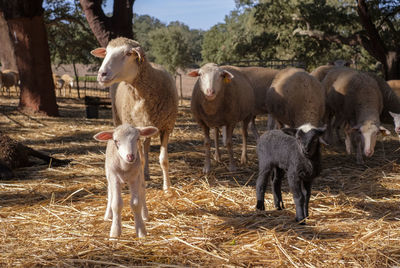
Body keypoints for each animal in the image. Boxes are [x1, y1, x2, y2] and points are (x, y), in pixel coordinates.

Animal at [92, 38, 178, 193]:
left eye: (128, 53)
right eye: (106, 52)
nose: (101, 74)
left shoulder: (166, 127)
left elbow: (163, 160)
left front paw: (167, 188)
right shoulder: (135, 127)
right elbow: (140, 159)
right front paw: (142, 183)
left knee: (147, 147)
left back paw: (147, 173)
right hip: (119, 118)